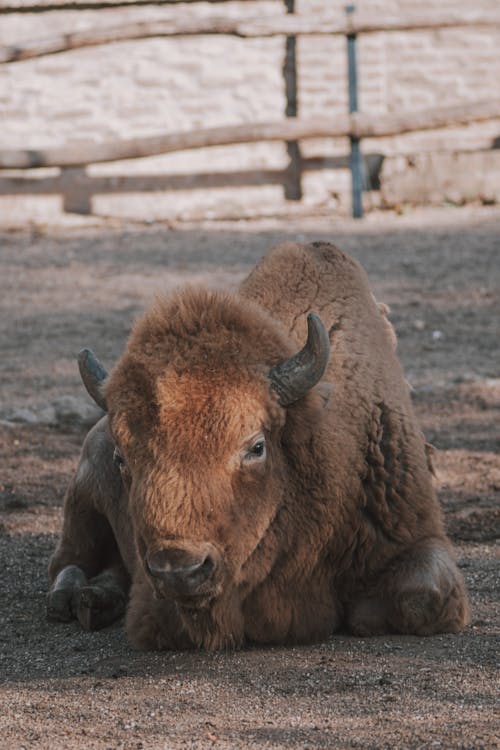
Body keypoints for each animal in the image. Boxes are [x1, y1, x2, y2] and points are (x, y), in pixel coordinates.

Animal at [47, 242, 468, 652]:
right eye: (122, 457)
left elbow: (420, 596)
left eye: (256, 447)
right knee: (68, 562)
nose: (179, 570)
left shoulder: (416, 535)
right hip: (82, 498)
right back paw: (75, 600)